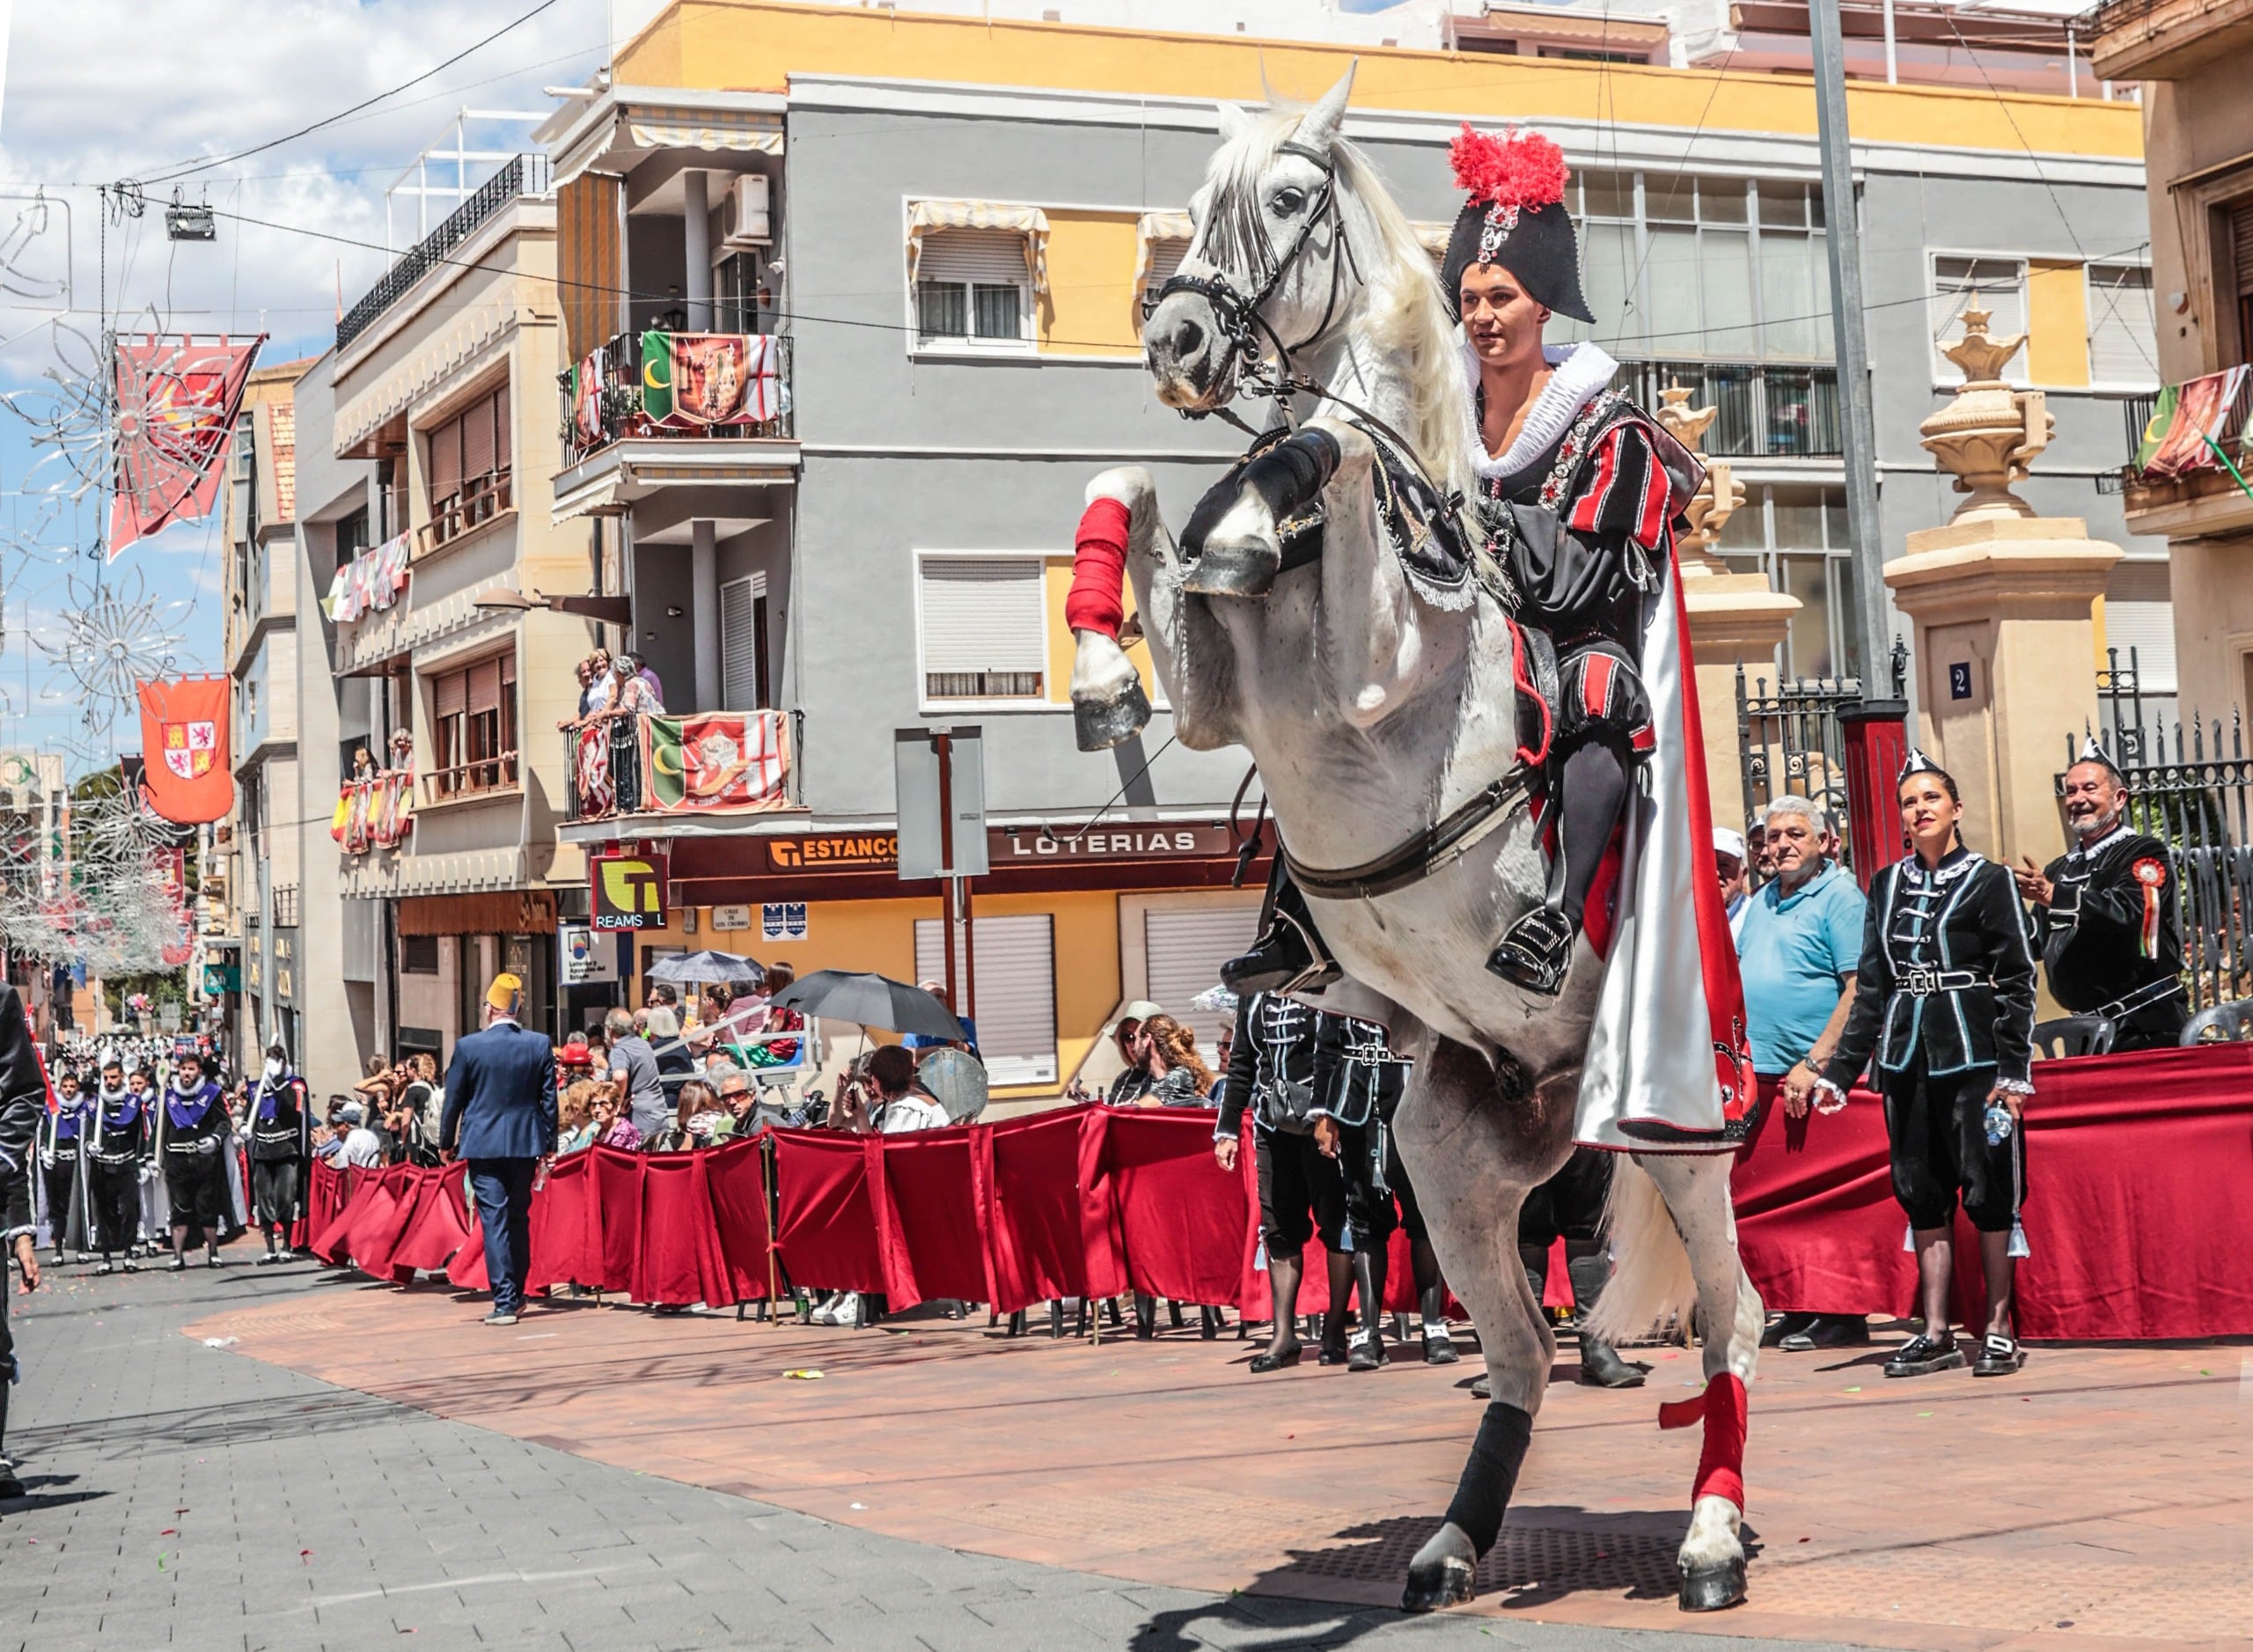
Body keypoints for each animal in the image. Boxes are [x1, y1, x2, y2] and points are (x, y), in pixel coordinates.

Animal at [1063, 67, 1766, 1613]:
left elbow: (1332, 456)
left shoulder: (1384, 661)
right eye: (1198, 195)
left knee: (1731, 1324)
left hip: (1676, 1138)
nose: (1179, 339)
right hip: (1450, 1159)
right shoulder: (1216, 700)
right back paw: (1453, 1540)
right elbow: (1130, 487)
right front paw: (1100, 661)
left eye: (1288, 198)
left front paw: (1271, 495)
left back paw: (1710, 1535)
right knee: (1519, 1350)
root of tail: (1561, 1085)